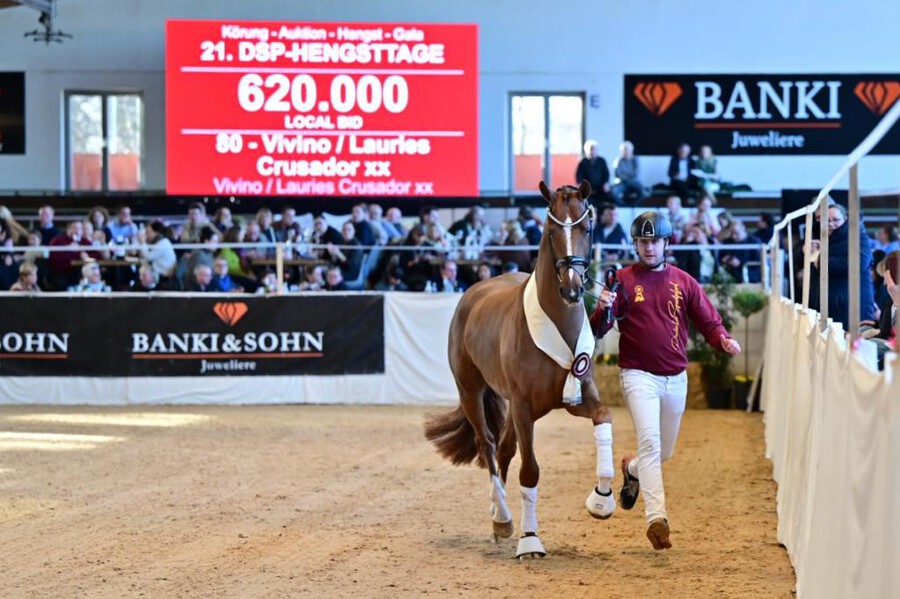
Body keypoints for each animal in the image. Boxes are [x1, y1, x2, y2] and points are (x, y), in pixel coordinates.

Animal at [426, 180, 616, 560]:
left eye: (587, 228)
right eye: (552, 230)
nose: (572, 287)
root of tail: (475, 290)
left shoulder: (580, 396)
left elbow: (604, 417)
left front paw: (601, 500)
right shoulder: (526, 409)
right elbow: (530, 472)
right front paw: (530, 541)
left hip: (512, 407)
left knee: (502, 450)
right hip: (473, 392)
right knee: (487, 445)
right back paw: (502, 519)